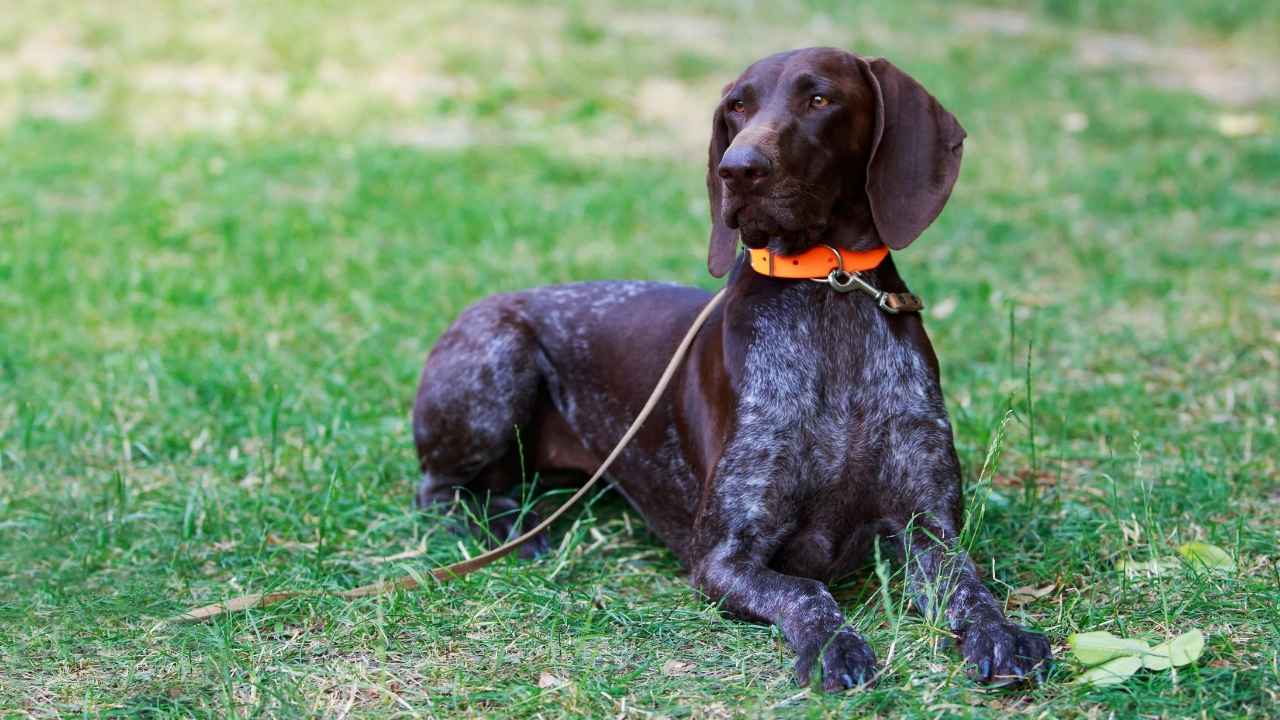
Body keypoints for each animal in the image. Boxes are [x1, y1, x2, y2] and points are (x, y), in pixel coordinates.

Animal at [414, 47, 1054, 686]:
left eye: (819, 98)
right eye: (736, 108)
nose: (737, 169)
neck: (827, 289)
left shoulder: (929, 531)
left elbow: (970, 586)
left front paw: (1000, 633)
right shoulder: (724, 556)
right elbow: (807, 592)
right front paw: (834, 647)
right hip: (499, 356)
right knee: (436, 489)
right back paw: (506, 529)